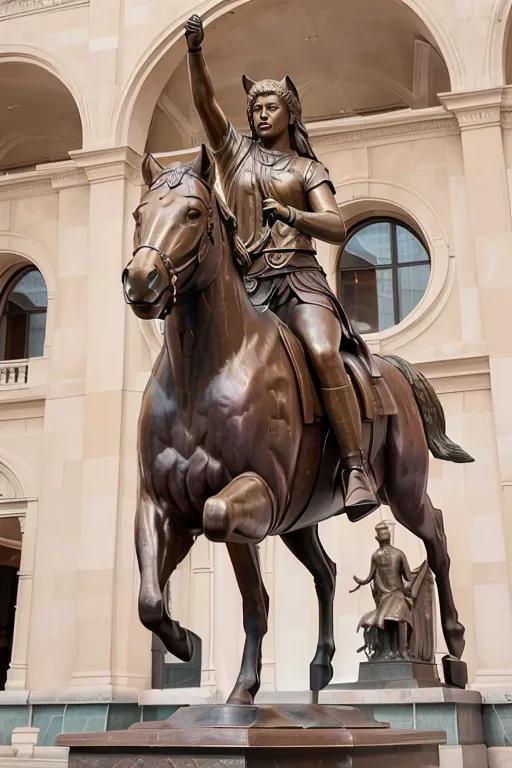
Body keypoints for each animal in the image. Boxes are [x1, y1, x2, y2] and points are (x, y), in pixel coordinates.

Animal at [122, 147, 474, 704]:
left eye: (193, 213)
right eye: (139, 214)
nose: (141, 281)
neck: (203, 372)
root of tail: (394, 370)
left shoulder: (249, 495)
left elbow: (250, 592)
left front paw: (242, 689)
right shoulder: (161, 502)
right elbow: (150, 598)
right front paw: (181, 640)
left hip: (402, 490)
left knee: (436, 536)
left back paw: (455, 650)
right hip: (301, 518)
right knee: (326, 572)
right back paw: (321, 667)